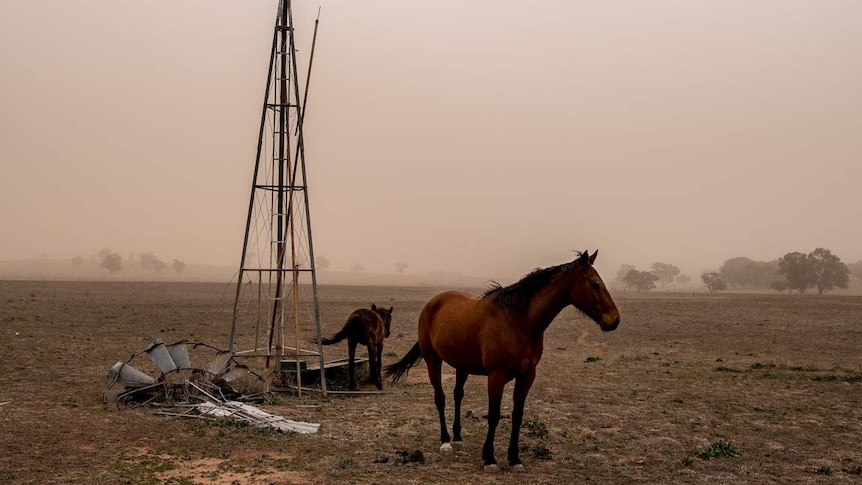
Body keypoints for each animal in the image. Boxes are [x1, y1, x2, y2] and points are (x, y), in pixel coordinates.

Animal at [384, 251, 620, 470]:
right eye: (595, 284)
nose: (615, 320)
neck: (520, 321)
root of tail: (432, 303)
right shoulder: (496, 375)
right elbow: (494, 415)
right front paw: (489, 458)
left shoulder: (527, 375)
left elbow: (517, 415)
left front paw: (514, 459)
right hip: (433, 360)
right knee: (440, 398)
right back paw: (446, 442)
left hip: (462, 366)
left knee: (457, 395)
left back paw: (458, 439)